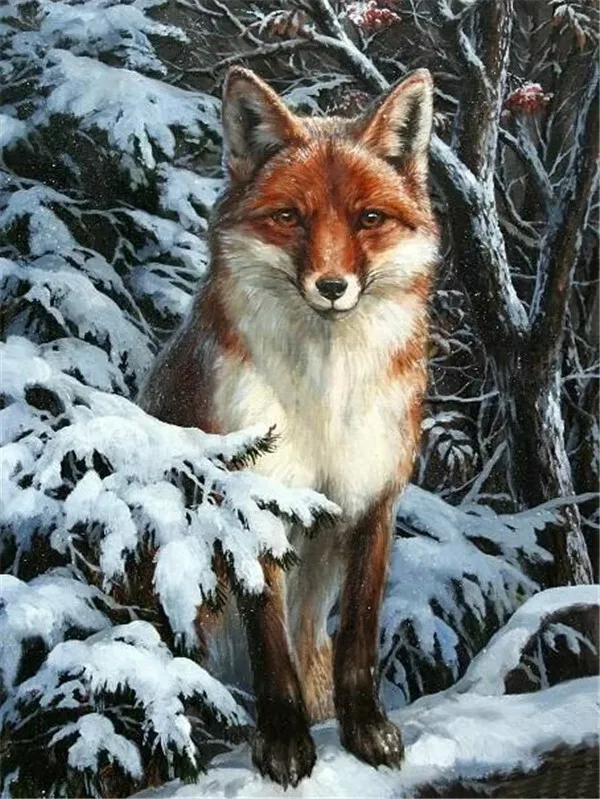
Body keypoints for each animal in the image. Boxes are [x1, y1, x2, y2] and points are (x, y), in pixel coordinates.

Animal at [139, 66, 439, 788]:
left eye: (368, 219)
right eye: (289, 217)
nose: (331, 286)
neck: (325, 396)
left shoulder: (374, 502)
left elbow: (357, 637)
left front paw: (365, 731)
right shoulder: (251, 503)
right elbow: (269, 647)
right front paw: (282, 742)